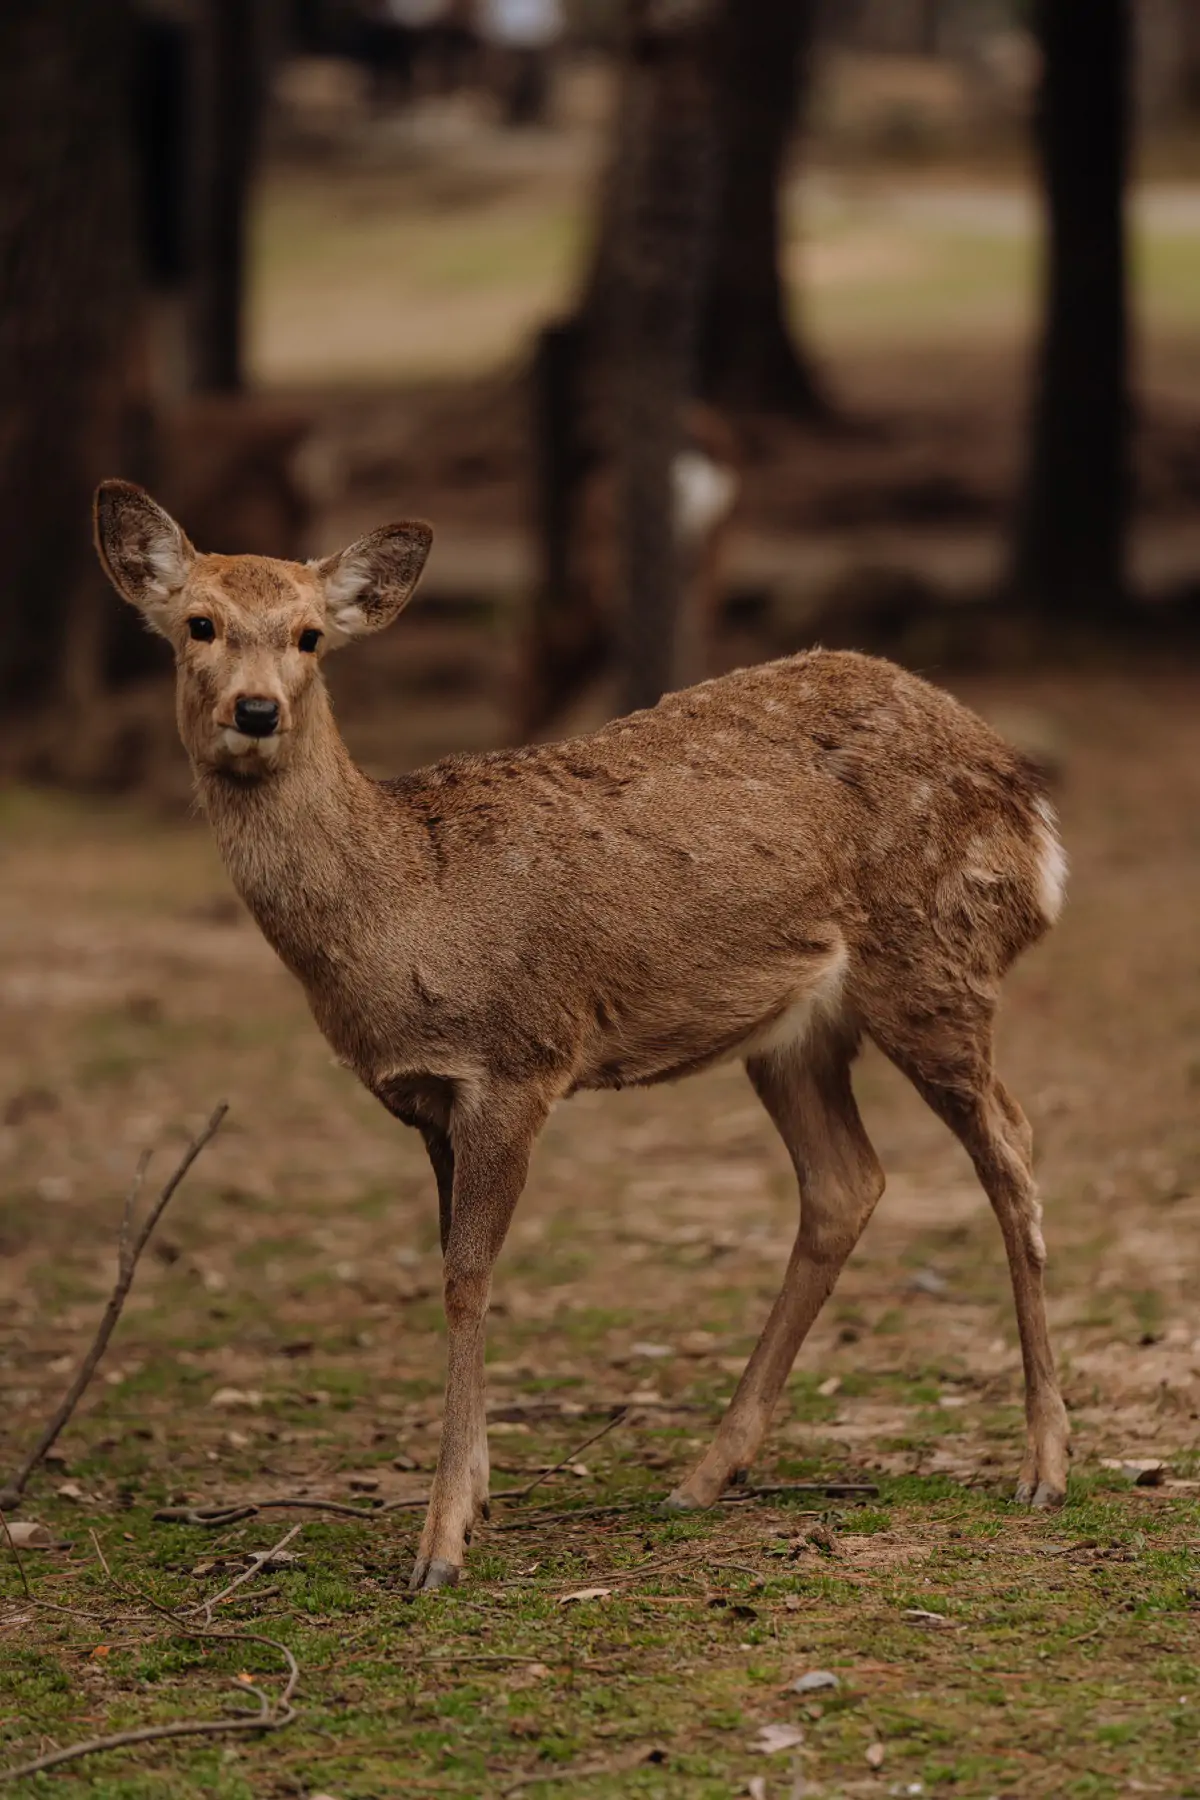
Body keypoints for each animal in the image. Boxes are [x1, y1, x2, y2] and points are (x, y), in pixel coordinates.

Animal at [91, 478, 1072, 1591]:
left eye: (309, 635)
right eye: (199, 623)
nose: (256, 709)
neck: (404, 911)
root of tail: (1029, 802)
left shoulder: (516, 1061)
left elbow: (467, 1278)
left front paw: (441, 1543)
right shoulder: (427, 1099)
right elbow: (453, 1267)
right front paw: (472, 1502)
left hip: (935, 962)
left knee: (1010, 1147)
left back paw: (1043, 1467)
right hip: (793, 1030)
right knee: (845, 1180)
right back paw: (705, 1474)